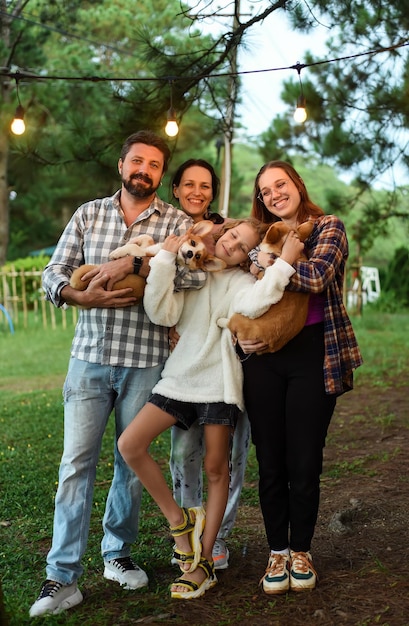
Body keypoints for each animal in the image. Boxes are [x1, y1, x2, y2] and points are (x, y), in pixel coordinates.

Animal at [69, 219, 223, 304]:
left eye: (198, 257)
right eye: (192, 243)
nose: (190, 254)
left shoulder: (146, 254)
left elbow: (134, 248)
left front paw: (118, 252)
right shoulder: (149, 244)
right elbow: (146, 237)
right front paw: (132, 240)